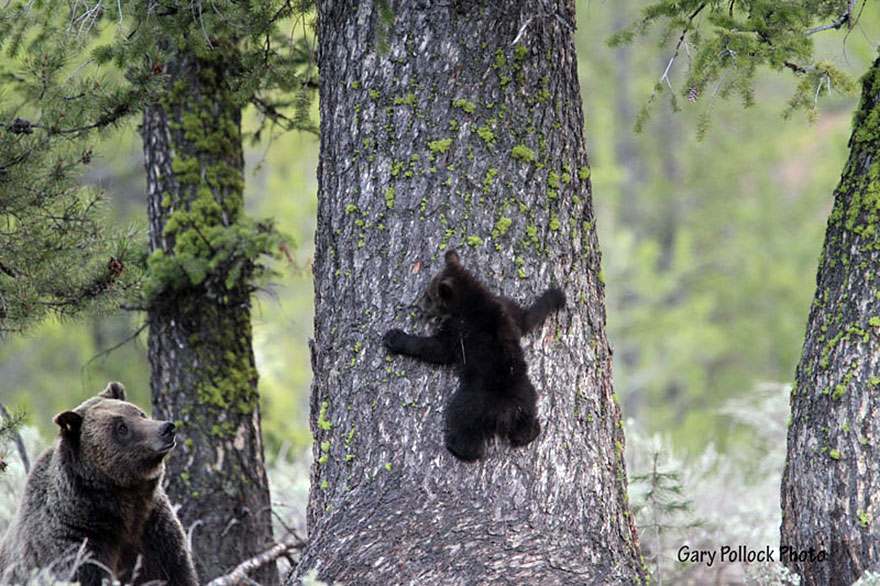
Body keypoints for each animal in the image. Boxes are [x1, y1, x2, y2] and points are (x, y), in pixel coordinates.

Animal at [0, 380, 198, 580]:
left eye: (140, 413)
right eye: (121, 427)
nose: (167, 428)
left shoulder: (154, 533)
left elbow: (174, 571)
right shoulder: (78, 541)